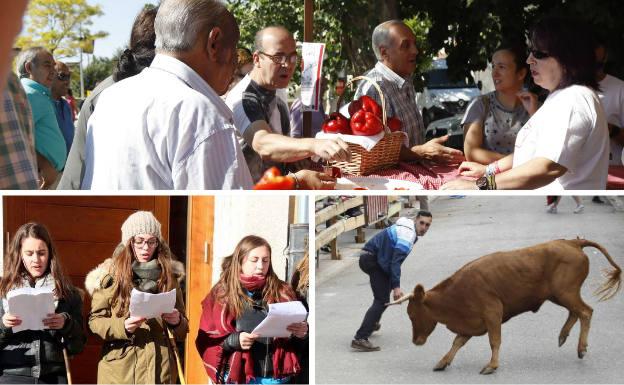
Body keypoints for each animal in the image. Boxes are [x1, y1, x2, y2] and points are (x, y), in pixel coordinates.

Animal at [388, 238, 620, 374]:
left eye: (411, 314)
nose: (416, 341)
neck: (456, 294)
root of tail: (572, 242)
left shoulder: (492, 313)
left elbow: (494, 341)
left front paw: (491, 365)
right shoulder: (471, 323)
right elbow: (457, 343)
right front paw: (443, 362)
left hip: (566, 292)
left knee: (585, 312)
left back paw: (581, 347)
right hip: (560, 295)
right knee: (575, 312)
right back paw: (563, 336)